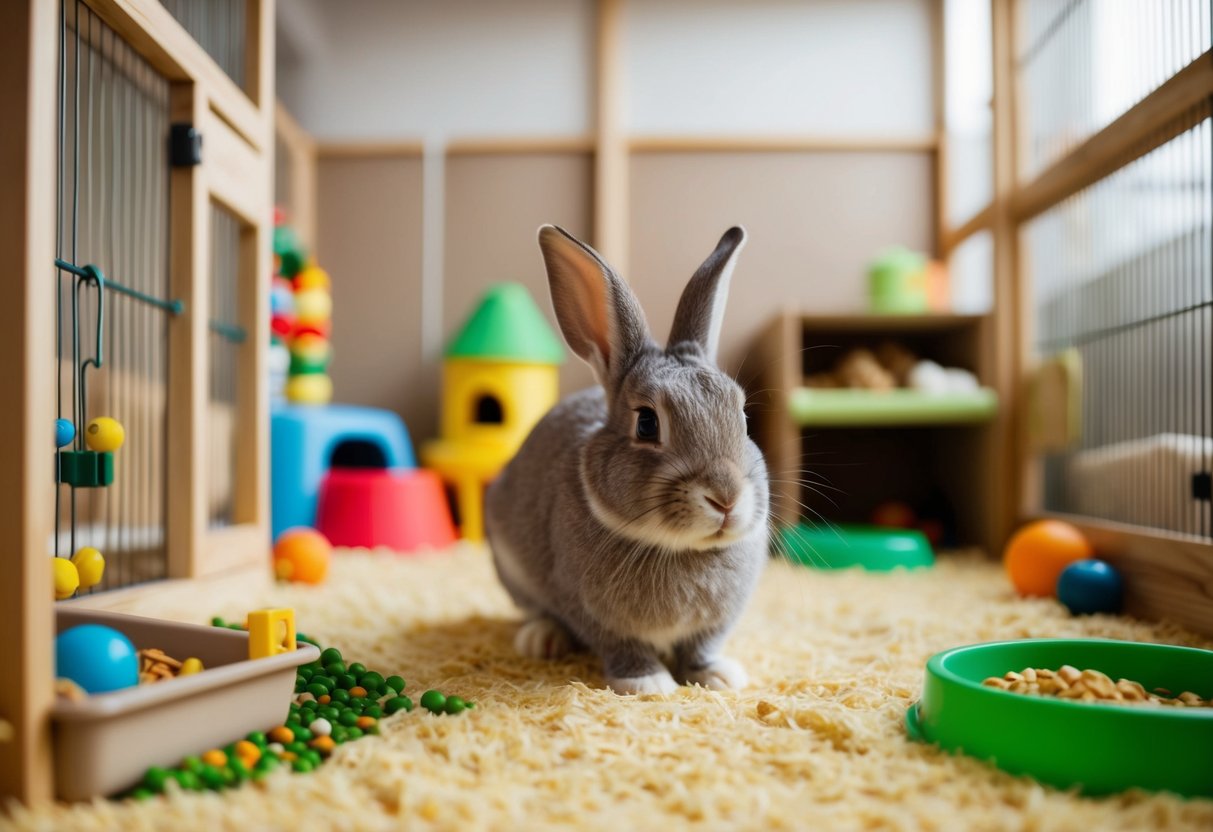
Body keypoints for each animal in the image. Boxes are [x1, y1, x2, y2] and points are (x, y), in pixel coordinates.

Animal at [485, 224, 769, 696]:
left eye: (743, 417)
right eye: (647, 424)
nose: (726, 498)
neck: (680, 549)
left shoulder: (715, 623)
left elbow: (702, 647)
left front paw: (718, 677)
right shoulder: (589, 608)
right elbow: (622, 646)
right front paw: (649, 683)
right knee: (533, 609)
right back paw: (542, 638)